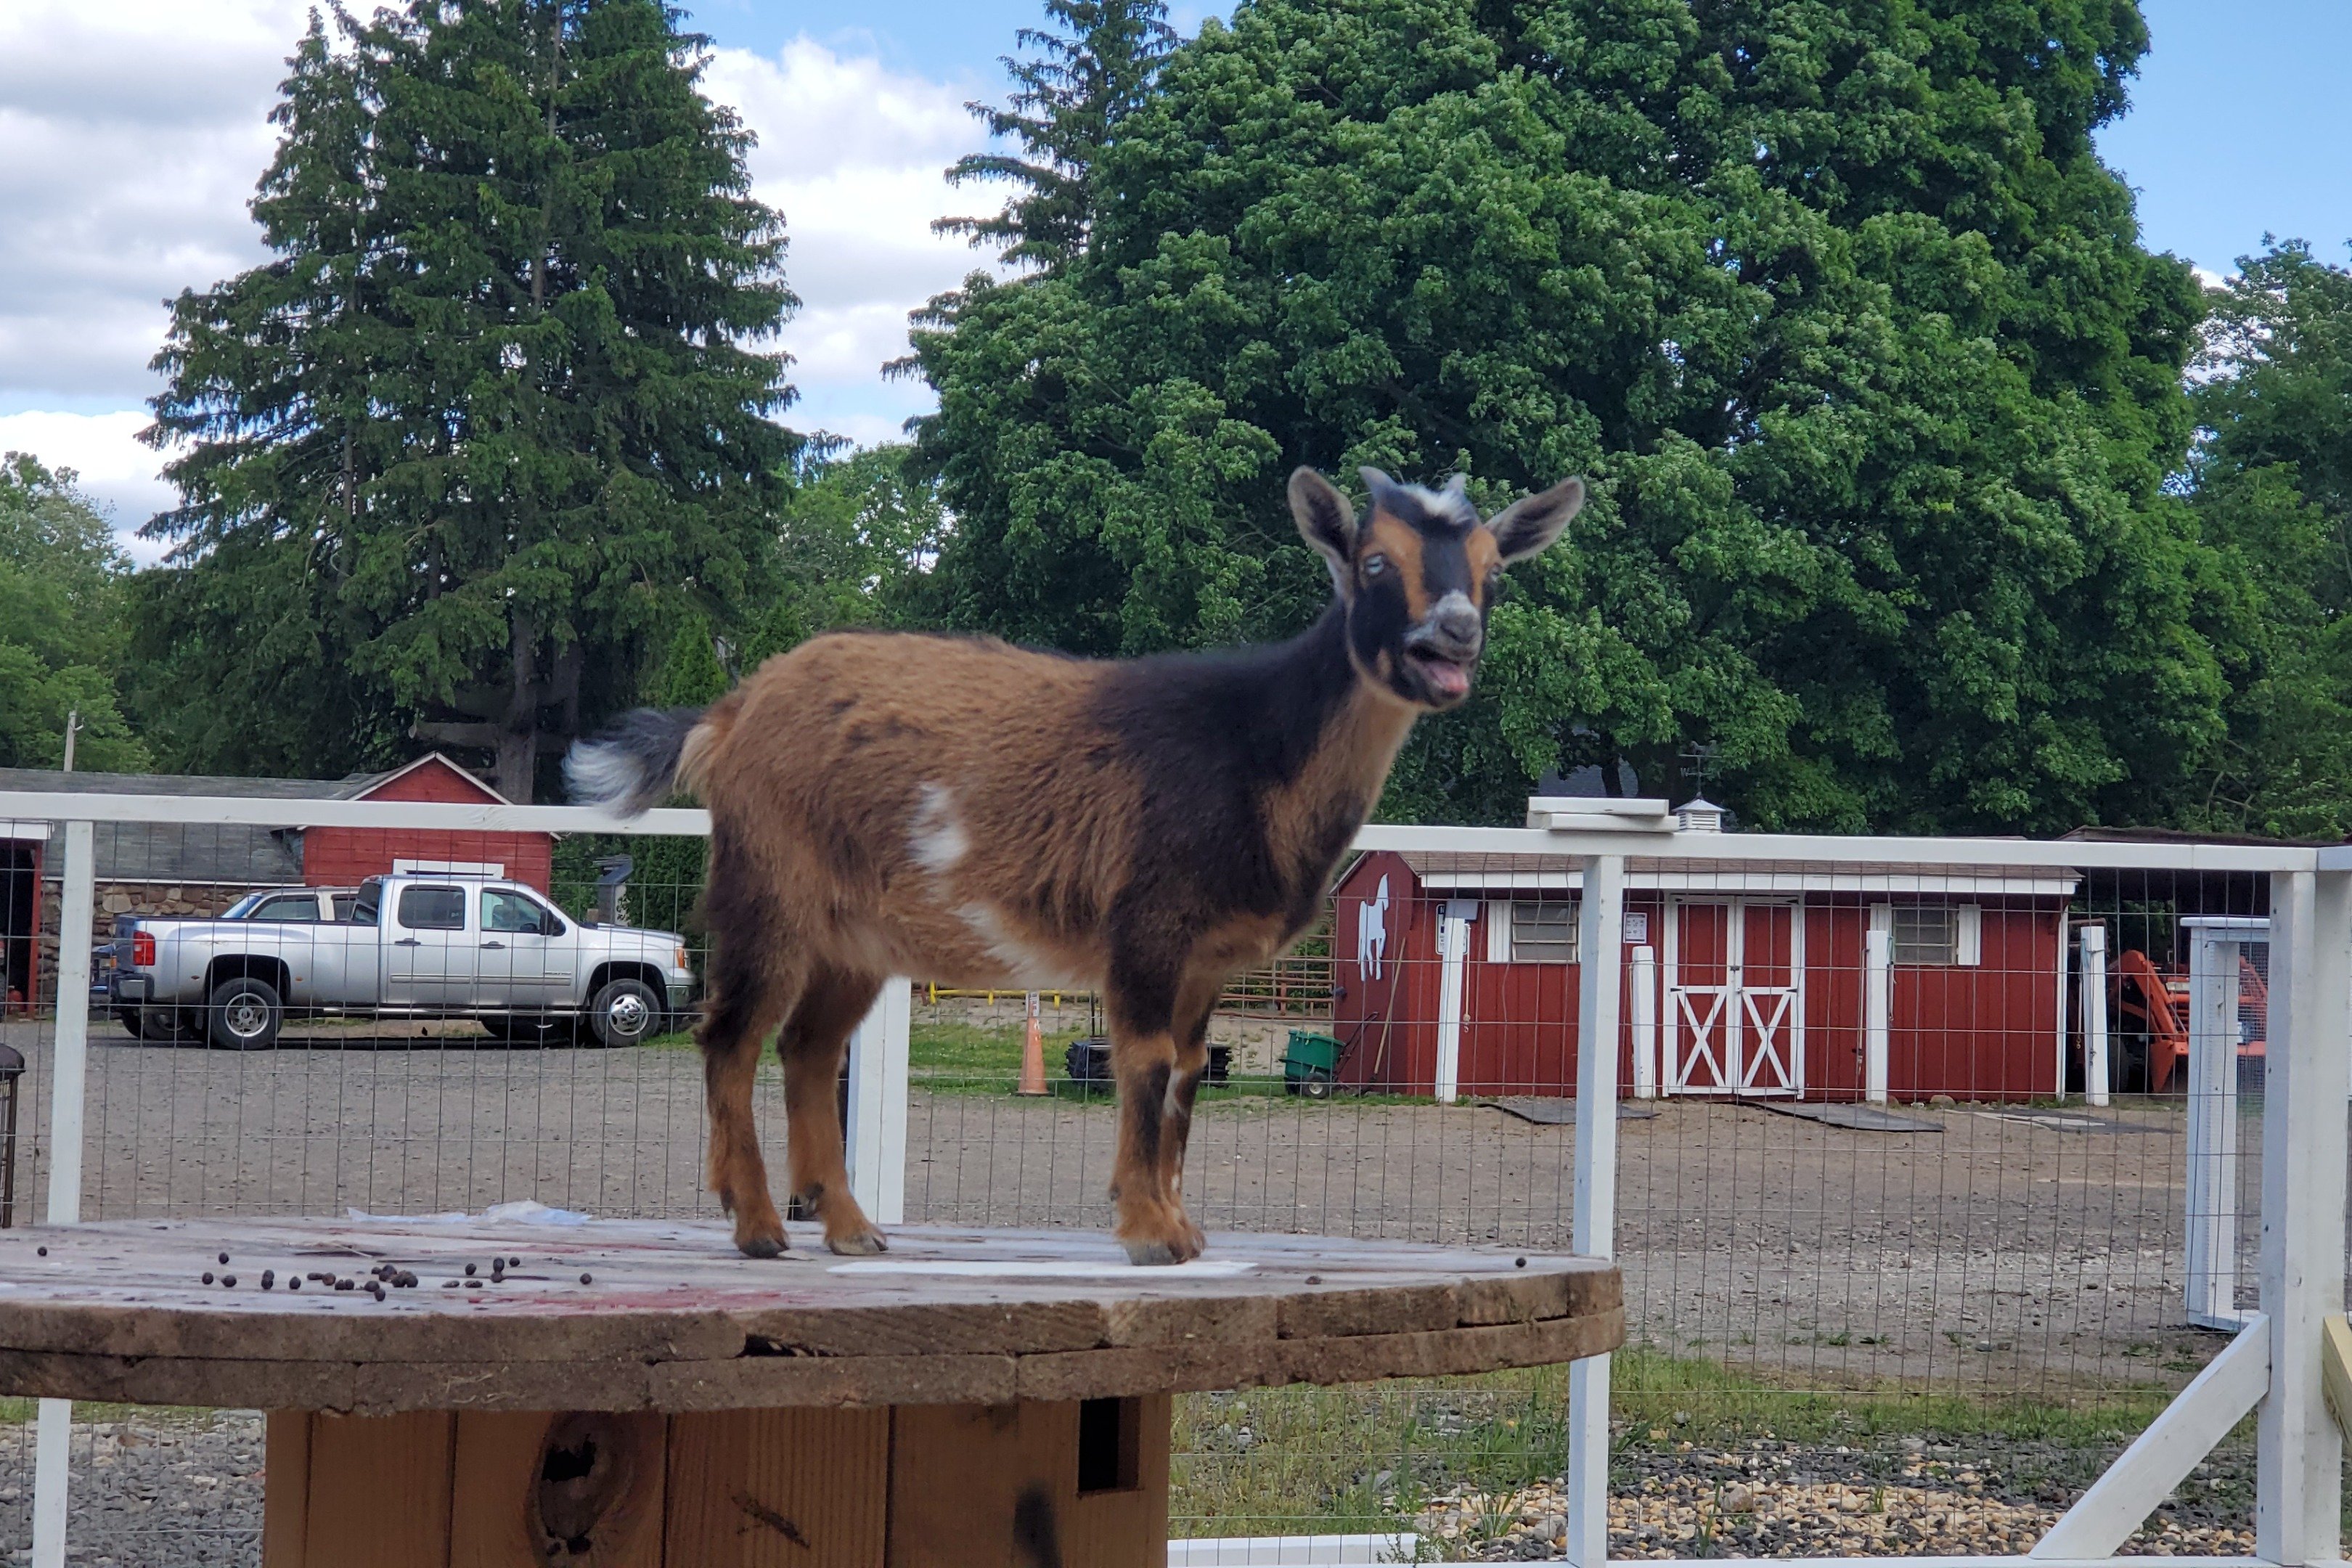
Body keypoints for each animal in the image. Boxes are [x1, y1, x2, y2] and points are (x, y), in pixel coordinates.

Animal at [564, 465, 1580, 1259]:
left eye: (1493, 572)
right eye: (1375, 563)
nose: (1452, 638)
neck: (1252, 745)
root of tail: (731, 712)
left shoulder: (1204, 959)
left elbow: (1187, 1070)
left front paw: (1181, 1224)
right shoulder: (1147, 924)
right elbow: (1143, 1062)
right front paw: (1149, 1232)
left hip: (857, 935)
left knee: (810, 1048)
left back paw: (851, 1227)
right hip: (771, 885)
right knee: (730, 1037)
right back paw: (760, 1226)